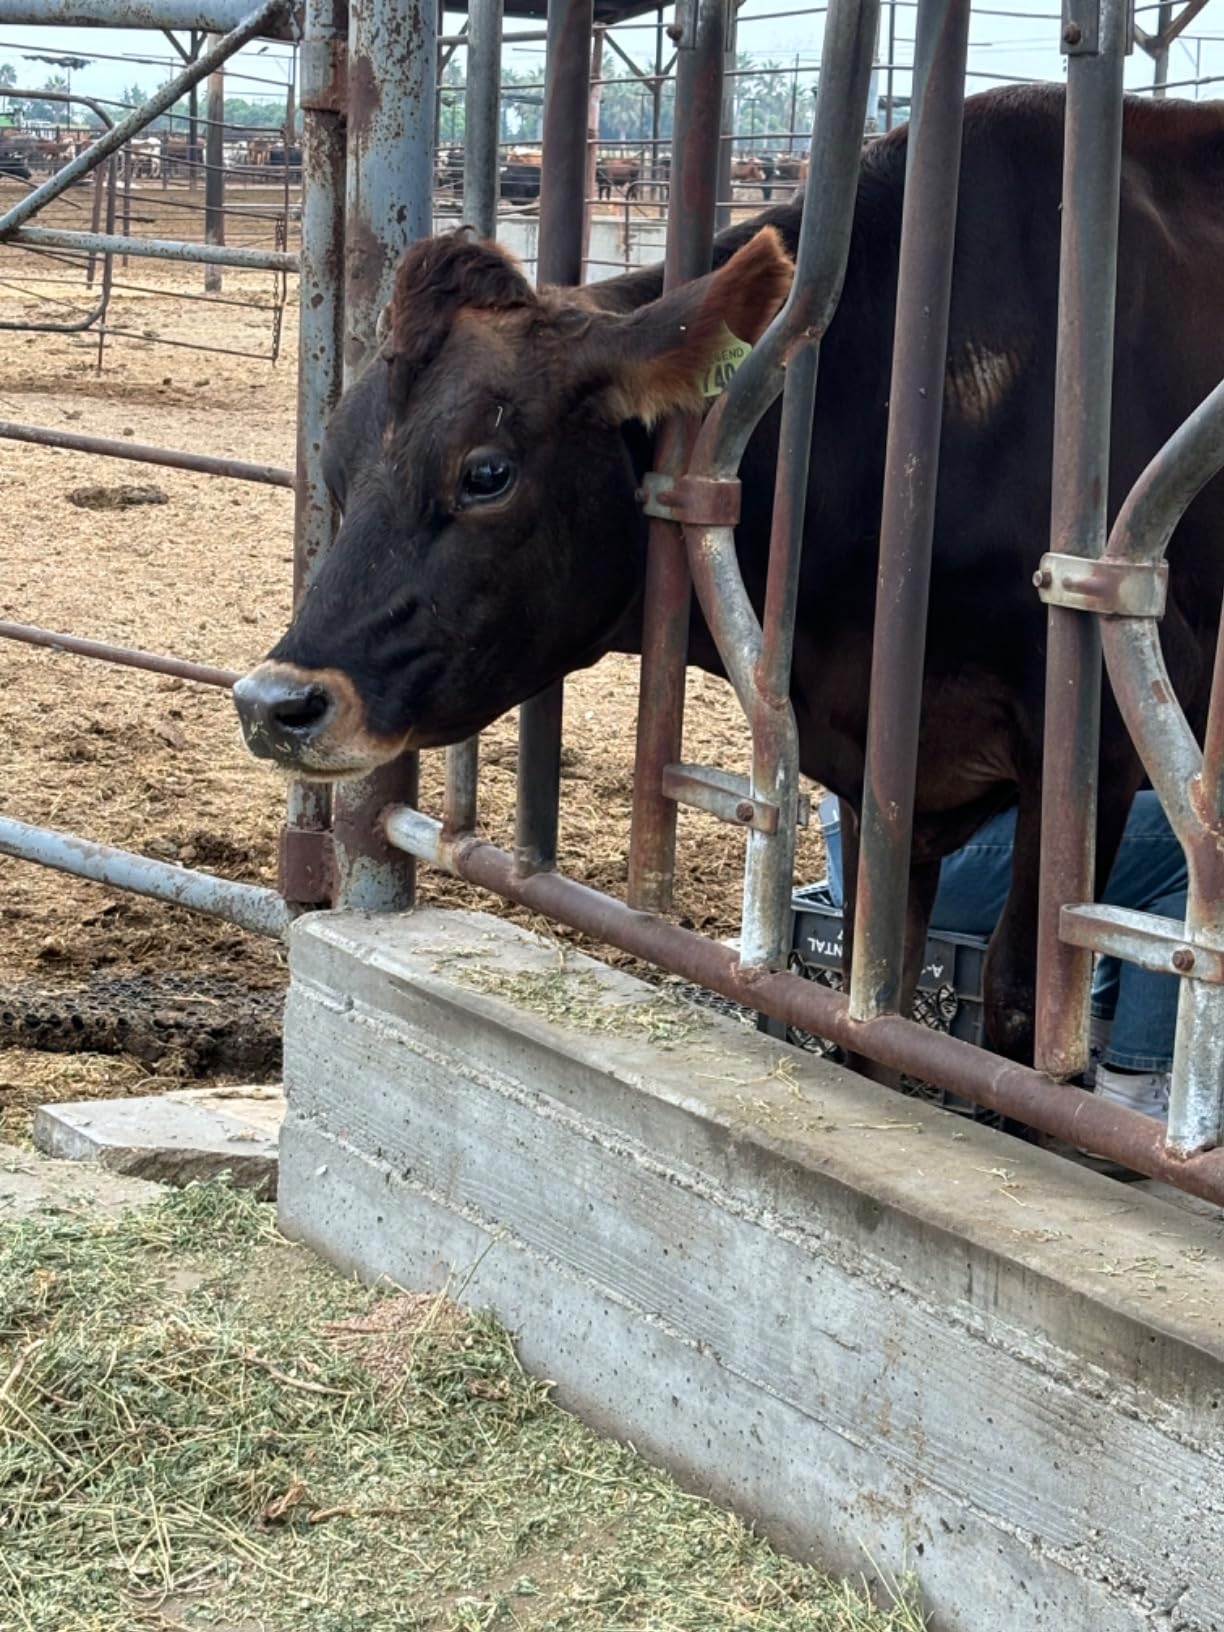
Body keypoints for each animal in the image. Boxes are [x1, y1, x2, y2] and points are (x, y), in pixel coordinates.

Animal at [233, 86, 1224, 1068]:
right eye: (334, 463)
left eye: (485, 472)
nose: (272, 703)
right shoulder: (883, 784)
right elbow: (880, 1004)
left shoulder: (1099, 753)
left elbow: (1020, 1015)